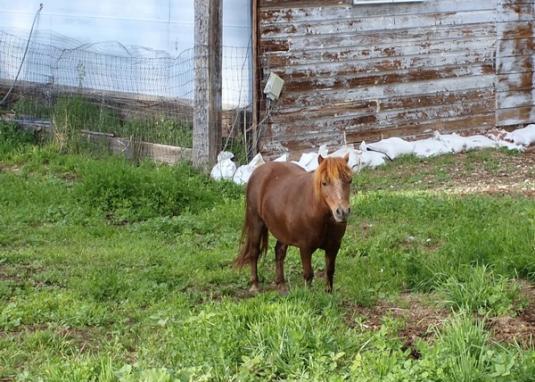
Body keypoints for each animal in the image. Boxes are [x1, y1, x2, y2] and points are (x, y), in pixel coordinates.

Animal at [233, 154, 352, 294]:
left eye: (349, 180)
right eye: (324, 183)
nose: (342, 212)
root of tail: (258, 171)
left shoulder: (334, 245)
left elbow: (329, 271)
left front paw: (328, 294)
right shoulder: (305, 247)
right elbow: (308, 274)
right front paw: (308, 295)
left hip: (282, 230)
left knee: (279, 251)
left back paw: (281, 284)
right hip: (256, 222)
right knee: (254, 252)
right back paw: (255, 285)